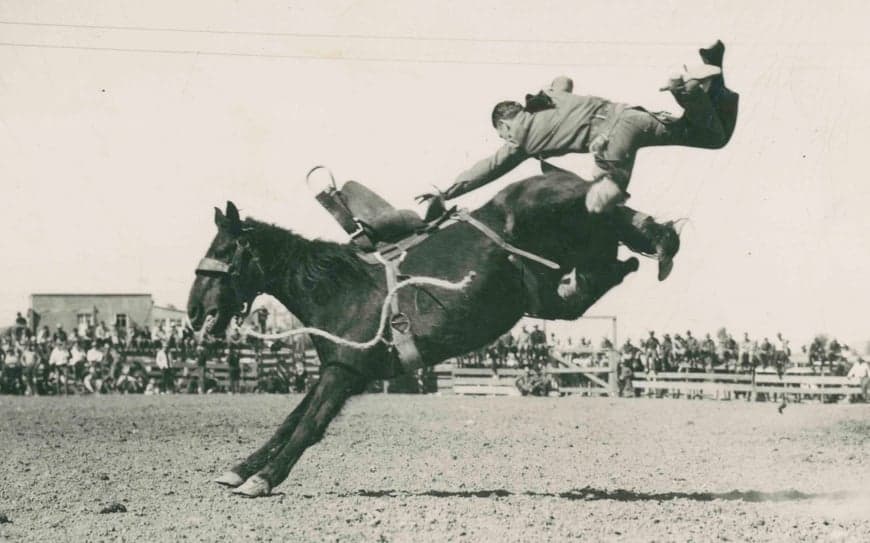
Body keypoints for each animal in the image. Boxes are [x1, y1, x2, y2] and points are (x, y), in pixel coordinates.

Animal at [187, 170, 644, 498]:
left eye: (223, 252)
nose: (193, 312)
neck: (340, 289)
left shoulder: (345, 373)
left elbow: (308, 426)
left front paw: (262, 479)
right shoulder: (337, 367)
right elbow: (290, 420)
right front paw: (239, 470)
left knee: (614, 265)